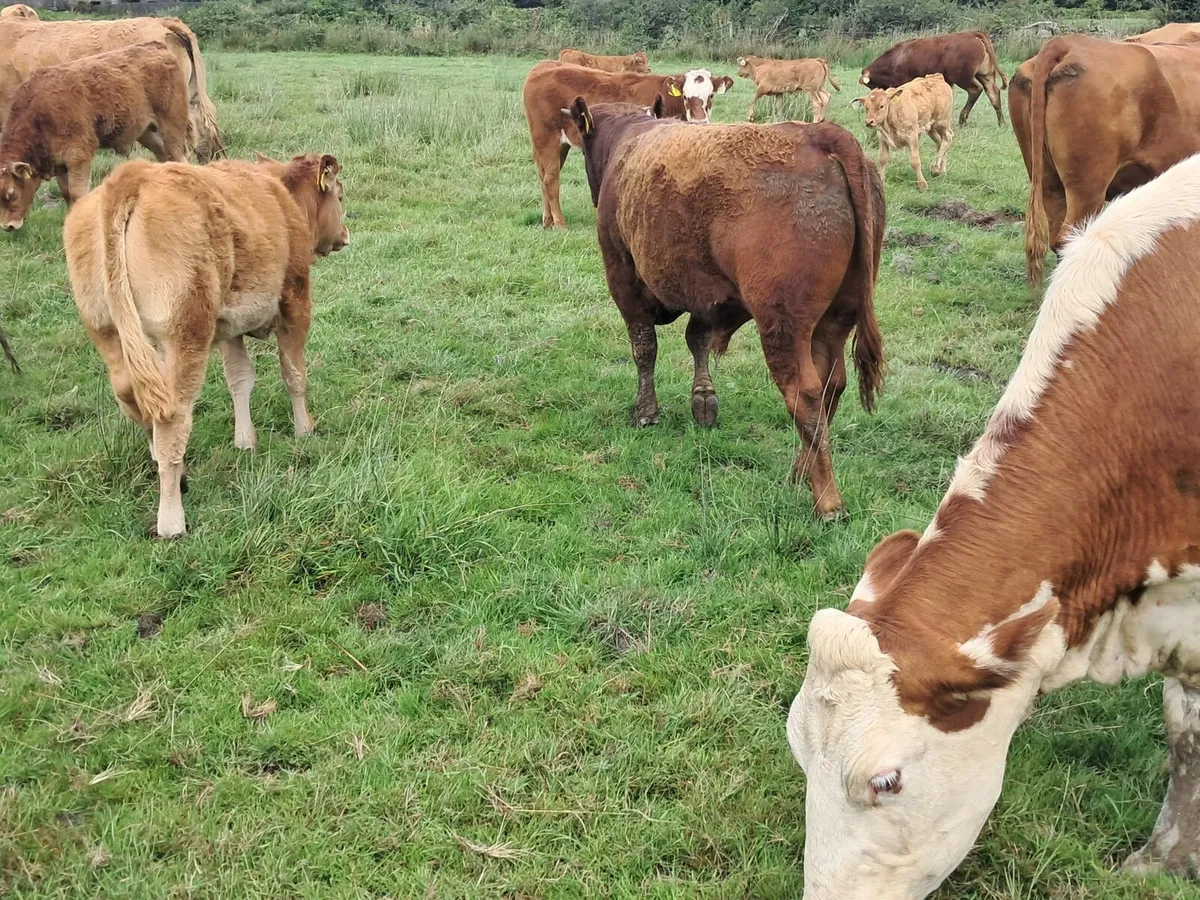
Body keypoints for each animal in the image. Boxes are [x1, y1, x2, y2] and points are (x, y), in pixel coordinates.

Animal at [0, 41, 191, 231]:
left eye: (12, 194)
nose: (8, 226)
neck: (39, 114)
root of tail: (155, 46)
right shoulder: (60, 164)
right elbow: (66, 193)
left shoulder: (79, 157)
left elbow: (77, 194)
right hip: (147, 133)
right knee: (164, 157)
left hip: (172, 127)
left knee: (179, 158)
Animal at [64, 153, 349, 538]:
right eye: (339, 195)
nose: (345, 235)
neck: (282, 194)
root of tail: (132, 176)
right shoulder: (295, 302)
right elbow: (293, 374)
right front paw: (305, 430)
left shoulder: (228, 328)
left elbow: (239, 380)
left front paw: (245, 441)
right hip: (186, 332)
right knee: (173, 416)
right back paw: (172, 519)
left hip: (109, 333)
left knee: (135, 399)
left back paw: (178, 475)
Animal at [522, 61, 733, 229]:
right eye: (685, 97)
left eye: (711, 96)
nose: (700, 121)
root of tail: (544, 66)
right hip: (546, 139)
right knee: (551, 179)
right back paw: (559, 222)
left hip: (557, 145)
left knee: (543, 177)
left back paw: (547, 220)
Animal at [566, 98, 884, 518]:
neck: (629, 137)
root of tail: (817, 135)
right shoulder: (708, 296)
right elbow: (697, 340)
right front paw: (703, 400)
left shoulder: (624, 280)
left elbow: (644, 348)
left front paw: (647, 412)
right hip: (835, 321)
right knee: (832, 386)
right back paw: (800, 472)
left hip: (783, 325)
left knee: (806, 395)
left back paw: (827, 500)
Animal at [861, 32, 1007, 126]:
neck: (896, 59)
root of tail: (973, 34)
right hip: (986, 76)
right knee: (993, 93)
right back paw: (1001, 122)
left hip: (962, 77)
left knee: (975, 90)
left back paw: (963, 119)